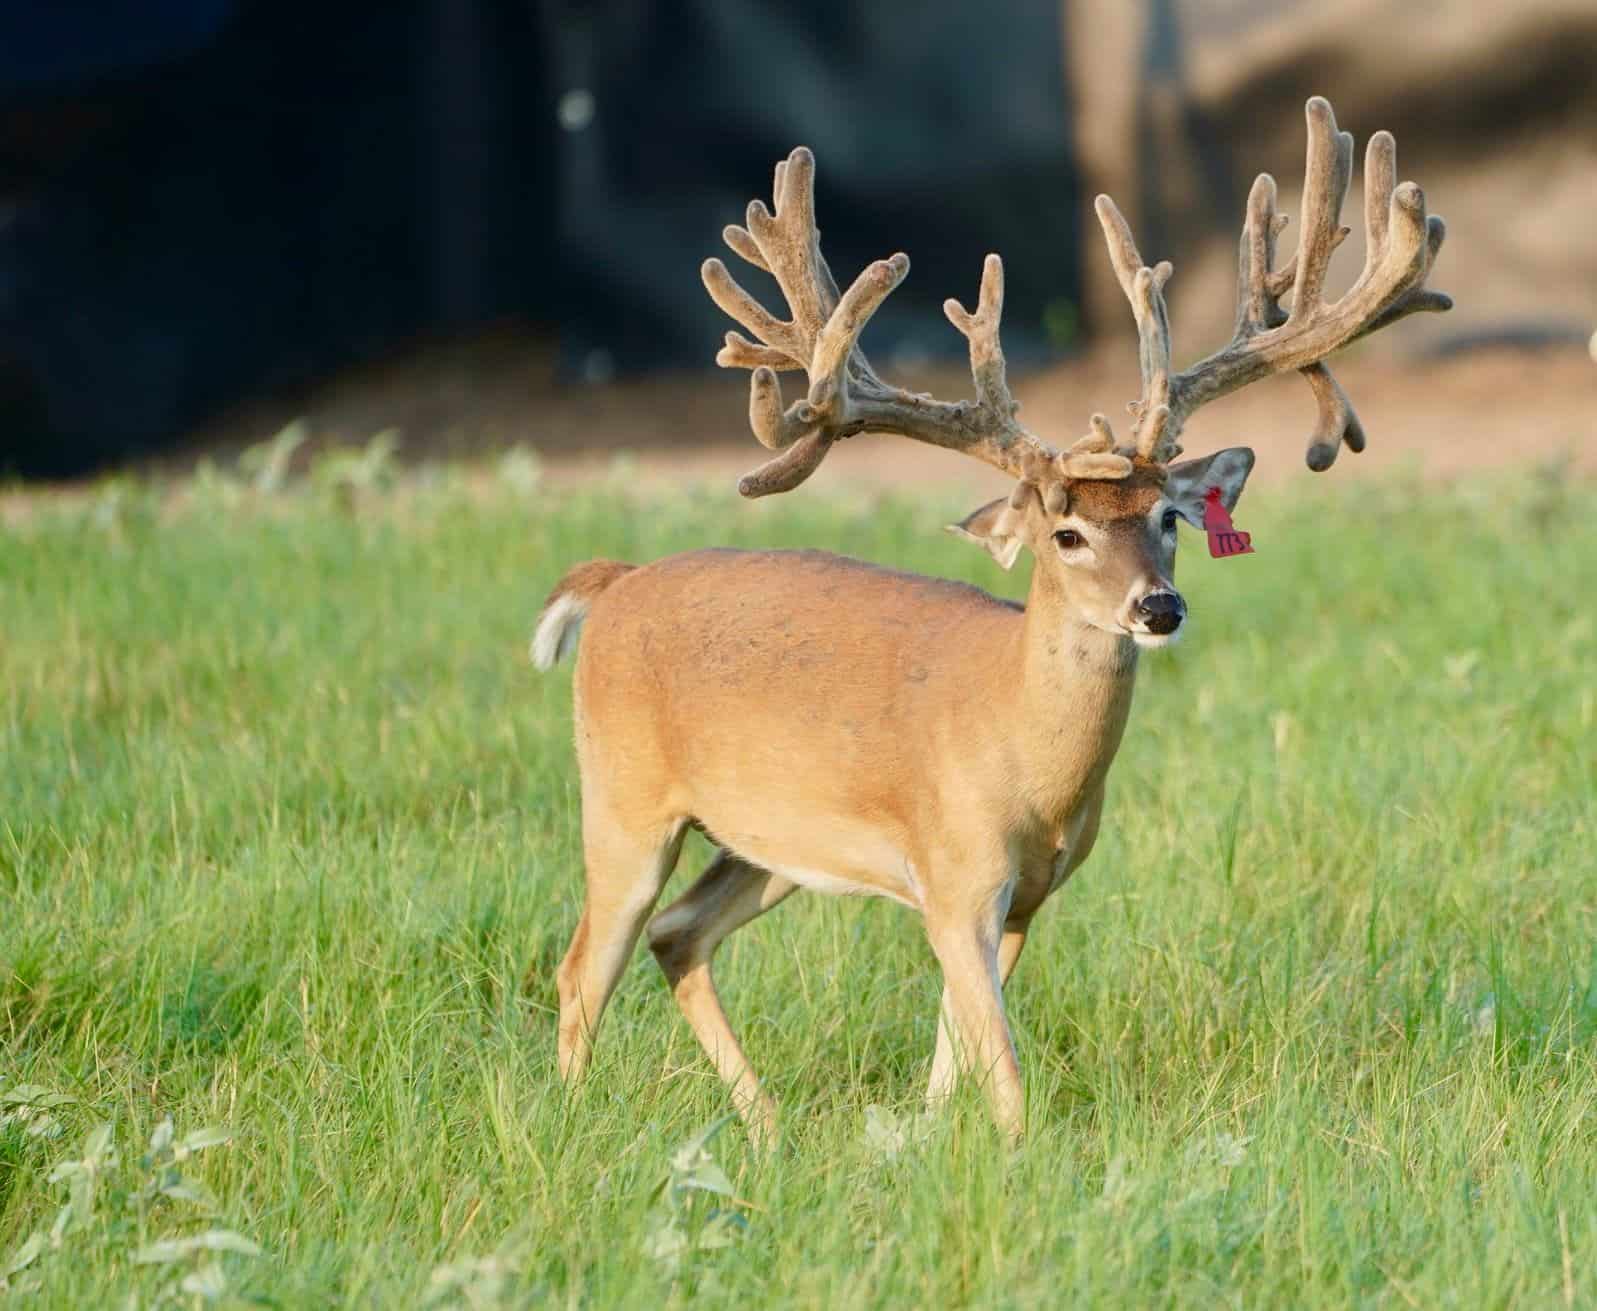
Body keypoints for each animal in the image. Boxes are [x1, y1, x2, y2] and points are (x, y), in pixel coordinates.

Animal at [531, 97, 1449, 1143]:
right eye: (1065, 532)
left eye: (1168, 518)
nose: (1158, 606)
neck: (1025, 759)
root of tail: (615, 581)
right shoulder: (958, 872)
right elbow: (1002, 1065)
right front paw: (1016, 1151)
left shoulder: (1023, 895)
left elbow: (958, 1045)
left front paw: (932, 1139)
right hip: (624, 798)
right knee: (583, 964)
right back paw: (570, 1120)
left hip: (766, 841)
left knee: (678, 932)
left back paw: (765, 1124)